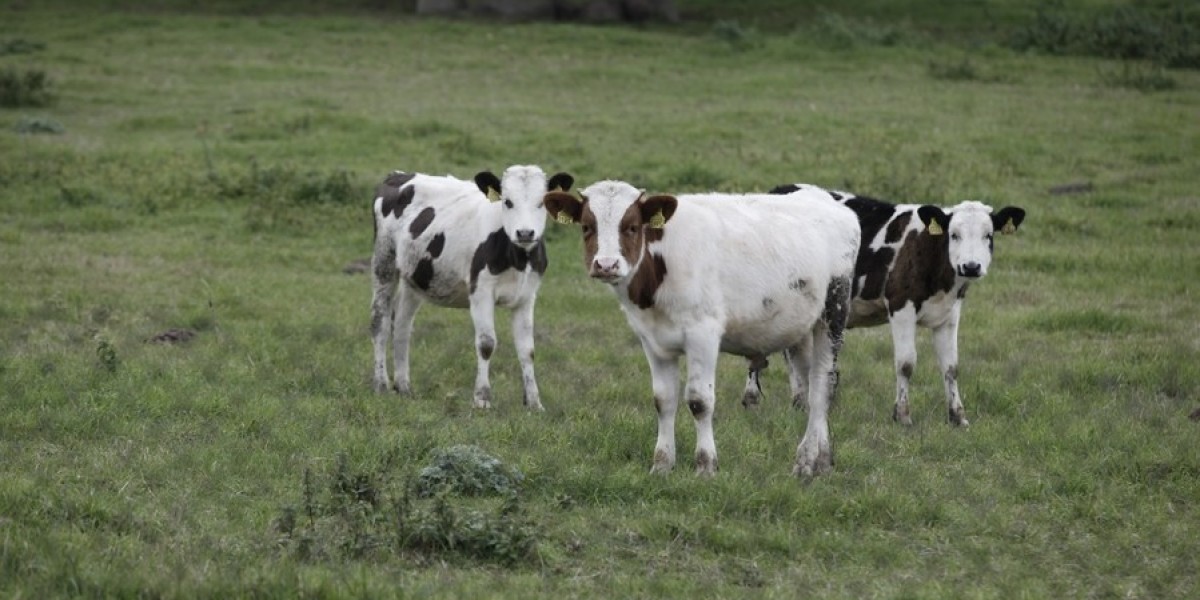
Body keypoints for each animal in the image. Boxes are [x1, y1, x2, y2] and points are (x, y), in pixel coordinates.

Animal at [367, 165, 573, 408]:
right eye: (507, 201)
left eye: (541, 202)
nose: (525, 233)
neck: (518, 259)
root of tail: (398, 175)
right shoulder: (480, 292)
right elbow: (486, 344)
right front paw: (482, 398)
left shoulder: (527, 296)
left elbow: (527, 350)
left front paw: (533, 402)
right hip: (384, 262)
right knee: (380, 321)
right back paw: (381, 384)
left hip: (415, 277)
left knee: (401, 325)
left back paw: (404, 386)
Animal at [544, 180, 864, 475]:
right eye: (587, 227)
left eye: (632, 227)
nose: (606, 264)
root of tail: (825, 199)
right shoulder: (652, 340)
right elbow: (663, 400)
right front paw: (662, 465)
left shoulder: (704, 335)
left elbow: (700, 401)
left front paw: (705, 466)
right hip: (802, 327)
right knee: (812, 385)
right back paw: (822, 459)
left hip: (833, 314)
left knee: (822, 386)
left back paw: (806, 461)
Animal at [739, 184, 1032, 424]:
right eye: (954, 234)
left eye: (988, 235)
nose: (971, 266)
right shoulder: (901, 306)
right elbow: (906, 363)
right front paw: (902, 416)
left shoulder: (949, 313)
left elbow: (951, 367)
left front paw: (957, 417)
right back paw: (753, 398)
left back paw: (800, 402)